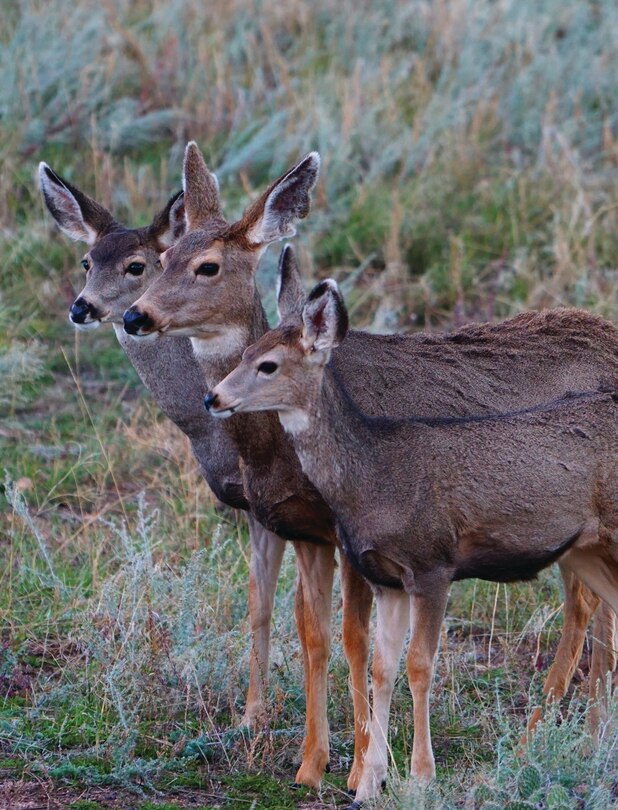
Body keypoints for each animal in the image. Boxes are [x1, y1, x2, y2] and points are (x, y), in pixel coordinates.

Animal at [207, 262, 616, 800]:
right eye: (245, 353)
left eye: (269, 365)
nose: (213, 396)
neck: (375, 474)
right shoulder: (386, 577)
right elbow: (382, 666)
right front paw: (369, 781)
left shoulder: (432, 564)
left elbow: (420, 665)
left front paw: (422, 776)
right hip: (589, 551)